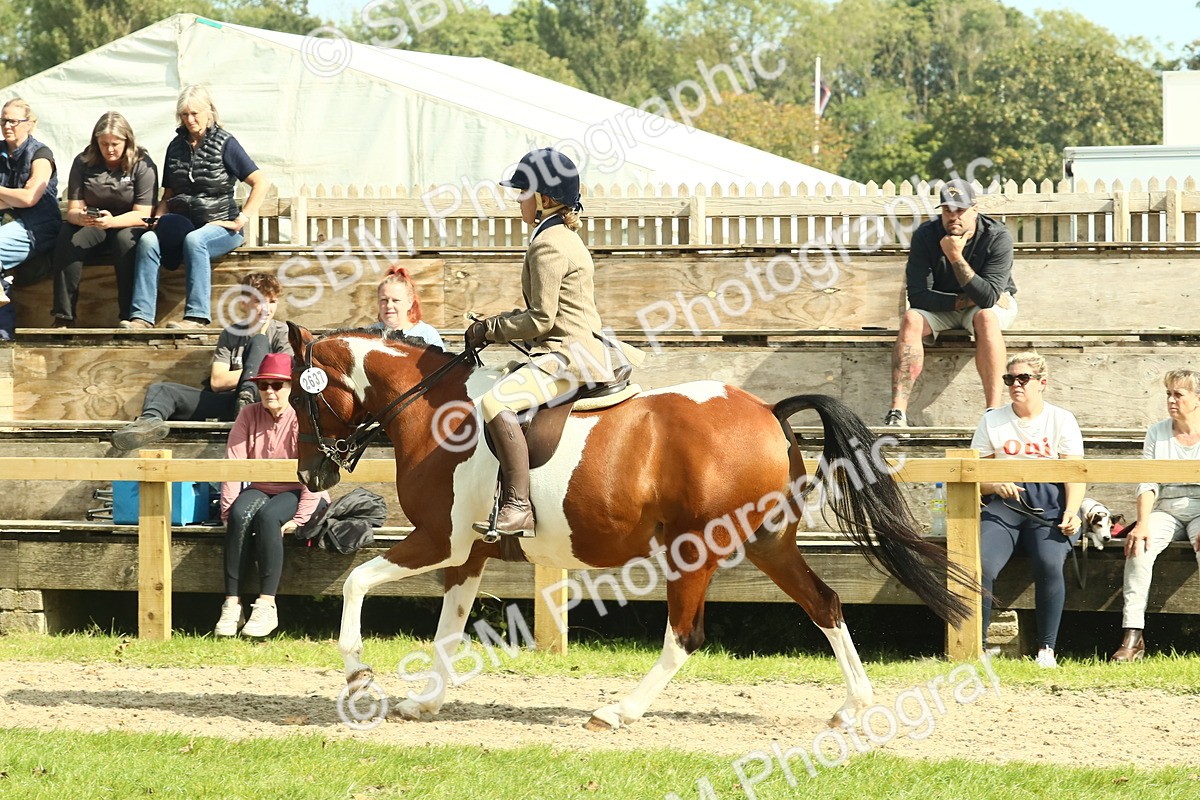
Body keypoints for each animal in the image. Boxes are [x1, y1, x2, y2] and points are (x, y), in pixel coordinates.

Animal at [287, 323, 974, 731]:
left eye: (298, 397)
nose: (311, 473)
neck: (435, 411)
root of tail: (767, 411)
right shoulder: (466, 553)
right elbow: (446, 633)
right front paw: (423, 701)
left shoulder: (438, 540)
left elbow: (356, 582)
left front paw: (358, 674)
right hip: (768, 544)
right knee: (825, 603)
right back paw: (853, 707)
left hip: (694, 552)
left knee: (685, 637)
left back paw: (619, 711)